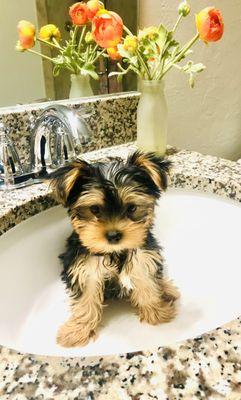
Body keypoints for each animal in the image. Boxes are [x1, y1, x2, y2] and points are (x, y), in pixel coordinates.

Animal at [49, 150, 180, 346]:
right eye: (94, 209)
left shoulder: (142, 257)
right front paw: (77, 330)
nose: (113, 235)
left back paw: (167, 289)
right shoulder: (85, 268)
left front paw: (156, 312)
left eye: (131, 208)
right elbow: (86, 299)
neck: (114, 253)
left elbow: (146, 282)